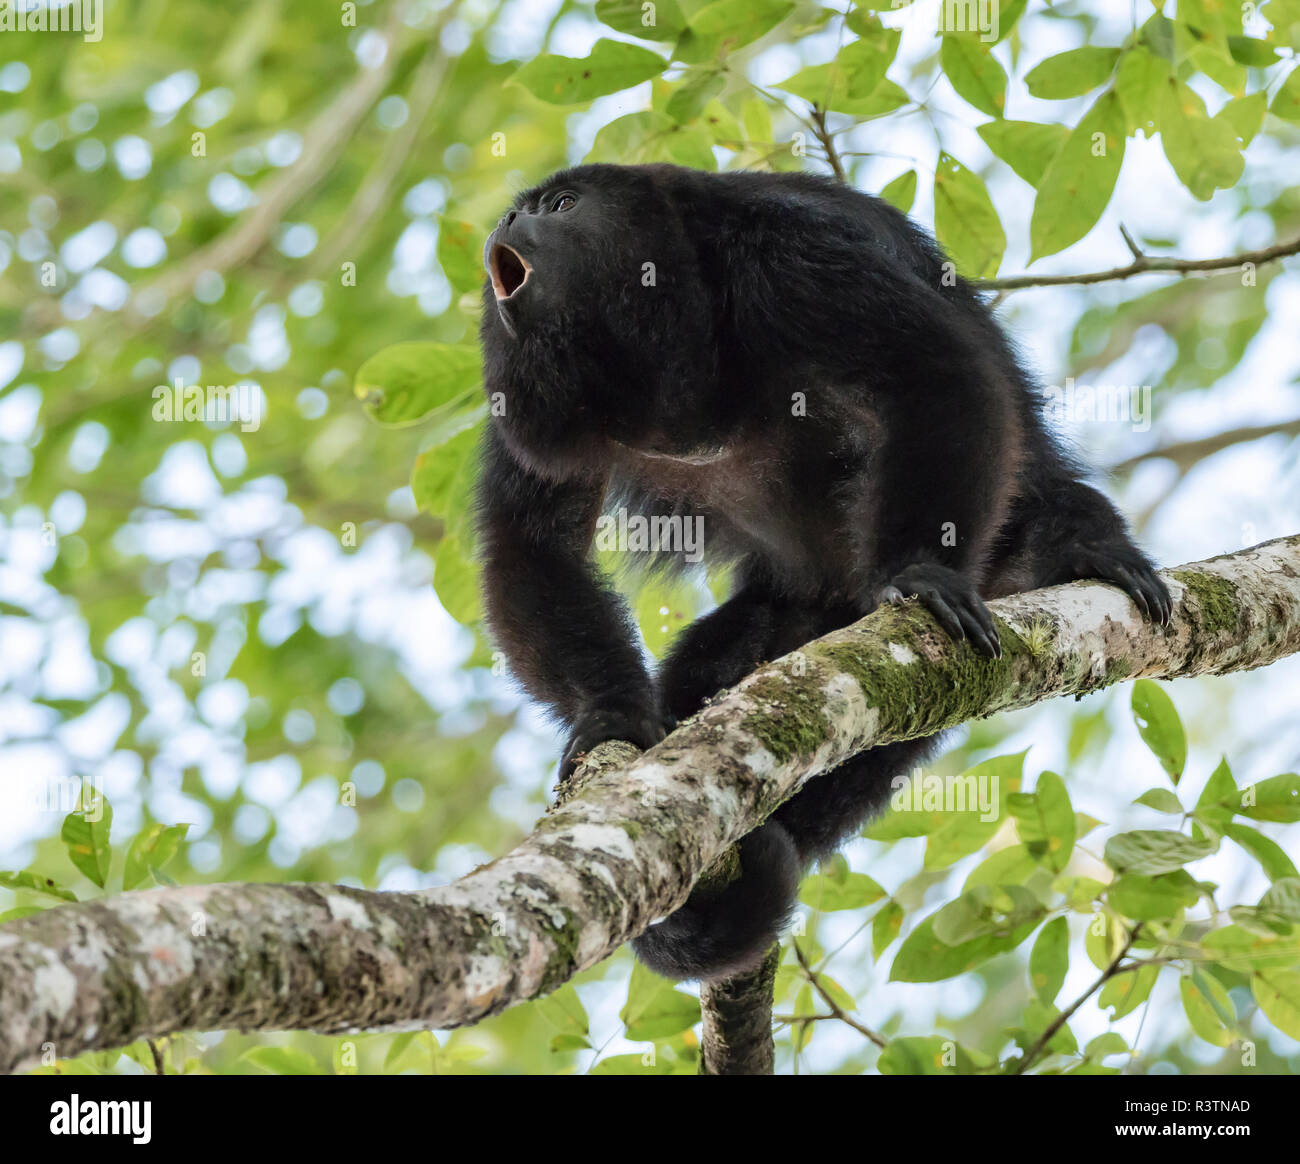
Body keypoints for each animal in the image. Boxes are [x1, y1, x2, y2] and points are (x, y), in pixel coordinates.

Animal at [475, 163, 1170, 983]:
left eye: (561, 205)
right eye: (521, 208)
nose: (507, 223)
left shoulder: (789, 254)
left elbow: (934, 371)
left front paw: (921, 571)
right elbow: (533, 543)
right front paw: (611, 715)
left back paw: (1083, 547)